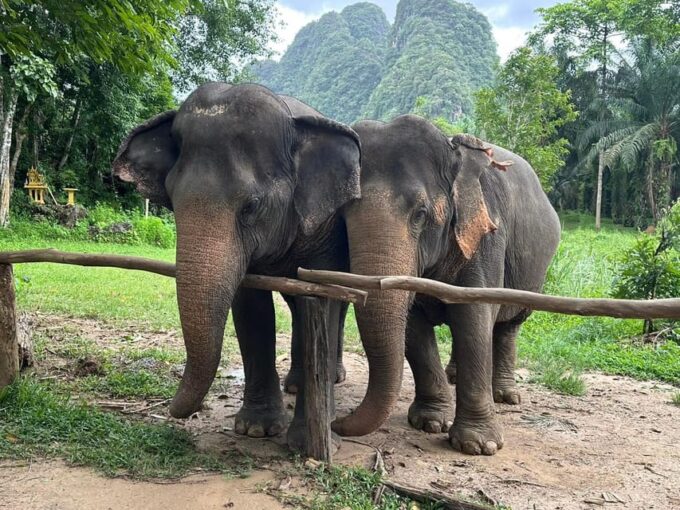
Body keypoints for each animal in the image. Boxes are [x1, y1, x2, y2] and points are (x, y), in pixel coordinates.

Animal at [112, 83, 361, 446]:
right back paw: (295, 384)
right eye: (171, 199)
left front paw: (307, 439)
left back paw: (332, 381)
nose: (171, 410)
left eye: (251, 206)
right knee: (298, 307)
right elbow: (251, 308)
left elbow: (324, 298)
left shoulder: (325, 226)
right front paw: (256, 429)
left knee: (332, 307)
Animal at [333, 115, 560, 456]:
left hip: (534, 274)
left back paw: (506, 396)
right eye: (343, 216)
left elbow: (474, 315)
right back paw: (455, 376)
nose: (337, 422)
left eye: (420, 214)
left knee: (509, 325)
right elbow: (414, 326)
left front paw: (478, 445)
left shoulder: (486, 236)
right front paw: (429, 422)